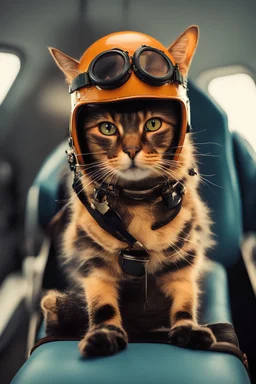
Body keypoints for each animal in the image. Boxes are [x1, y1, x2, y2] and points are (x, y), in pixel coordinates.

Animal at [40, 26, 216, 356]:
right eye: (107, 128)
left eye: (153, 124)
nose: (132, 151)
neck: (138, 201)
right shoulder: (94, 265)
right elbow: (102, 306)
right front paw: (103, 334)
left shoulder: (183, 262)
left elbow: (185, 302)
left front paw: (188, 328)